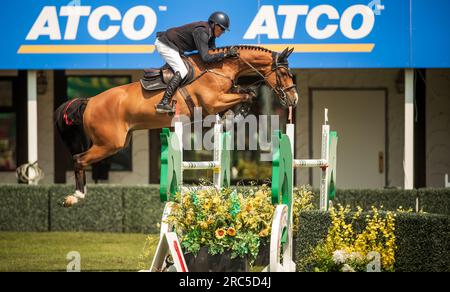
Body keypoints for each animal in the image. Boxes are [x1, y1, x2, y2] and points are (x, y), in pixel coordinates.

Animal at [55, 45, 298, 208]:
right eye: (284, 73)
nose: (293, 100)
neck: (220, 68)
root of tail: (89, 101)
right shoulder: (213, 102)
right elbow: (248, 94)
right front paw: (236, 114)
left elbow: (247, 93)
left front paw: (234, 115)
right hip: (109, 144)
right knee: (79, 159)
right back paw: (75, 197)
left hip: (118, 142)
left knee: (80, 159)